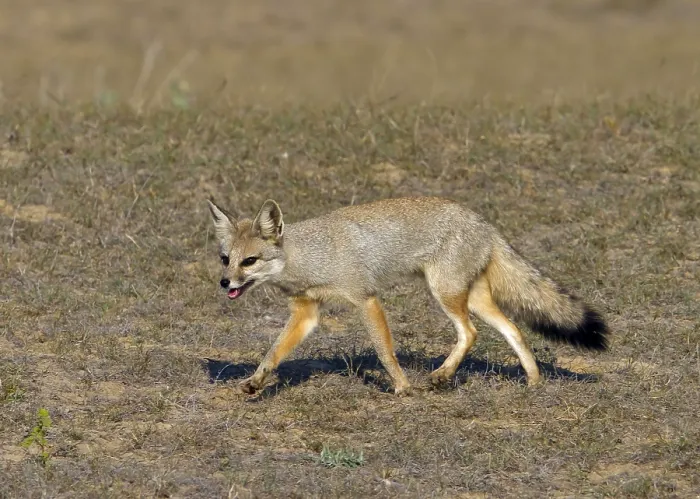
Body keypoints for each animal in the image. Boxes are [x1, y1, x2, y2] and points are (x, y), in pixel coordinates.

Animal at [207, 196, 609, 396]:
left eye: (250, 261)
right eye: (225, 259)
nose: (225, 283)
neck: (310, 256)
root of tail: (483, 222)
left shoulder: (365, 298)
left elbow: (385, 351)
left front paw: (401, 388)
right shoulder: (307, 312)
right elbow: (273, 353)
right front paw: (256, 383)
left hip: (445, 293)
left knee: (471, 333)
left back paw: (442, 376)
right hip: (472, 298)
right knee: (514, 330)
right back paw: (533, 381)